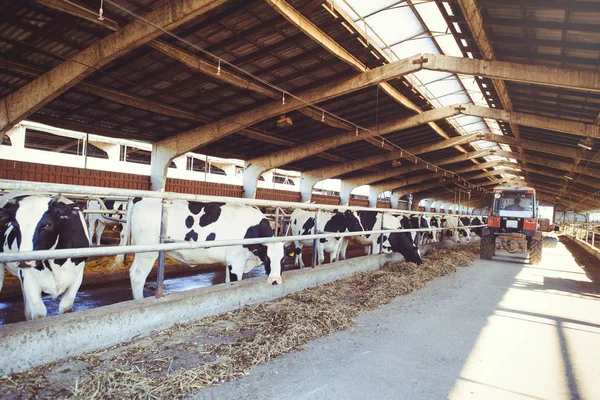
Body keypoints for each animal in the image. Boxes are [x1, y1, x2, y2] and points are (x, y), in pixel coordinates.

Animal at [0, 192, 90, 320]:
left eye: (47, 225)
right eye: (16, 227)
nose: (23, 261)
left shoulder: (77, 278)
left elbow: (65, 308)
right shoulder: (29, 280)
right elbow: (39, 313)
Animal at [121, 198, 286, 298]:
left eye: (283, 260)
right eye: (267, 258)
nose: (275, 281)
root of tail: (140, 198)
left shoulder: (231, 262)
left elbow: (227, 281)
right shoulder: (236, 261)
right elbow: (234, 281)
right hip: (147, 252)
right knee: (137, 275)